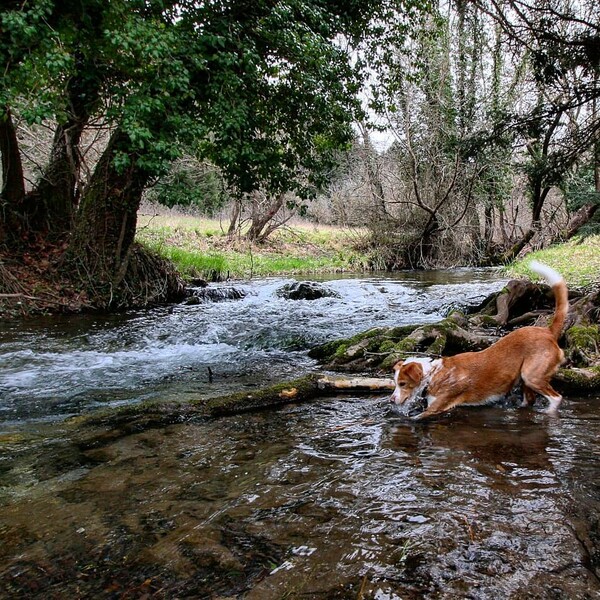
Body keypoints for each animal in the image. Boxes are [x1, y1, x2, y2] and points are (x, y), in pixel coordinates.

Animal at [392, 260, 568, 420]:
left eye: (402, 384)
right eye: (395, 382)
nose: (392, 400)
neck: (433, 375)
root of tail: (548, 331)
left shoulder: (437, 407)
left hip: (531, 376)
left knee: (557, 398)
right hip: (525, 379)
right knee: (529, 400)